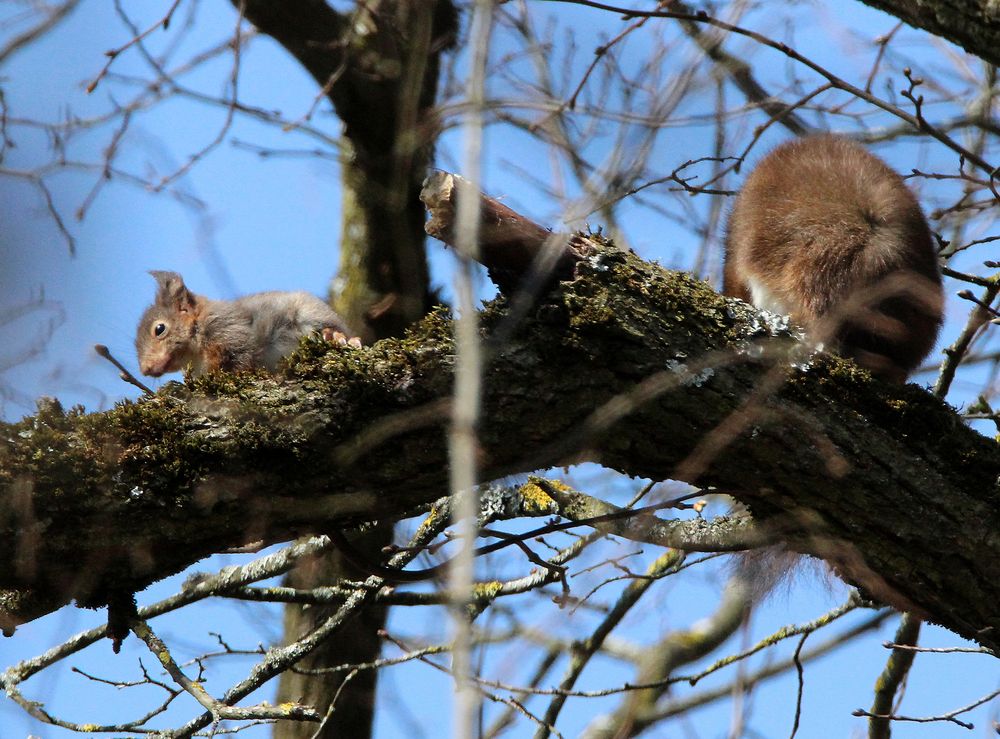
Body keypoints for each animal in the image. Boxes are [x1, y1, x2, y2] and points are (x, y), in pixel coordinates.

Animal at [137, 270, 360, 378]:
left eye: (159, 329)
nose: (145, 370)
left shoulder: (229, 330)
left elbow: (240, 360)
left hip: (311, 312)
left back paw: (335, 335)